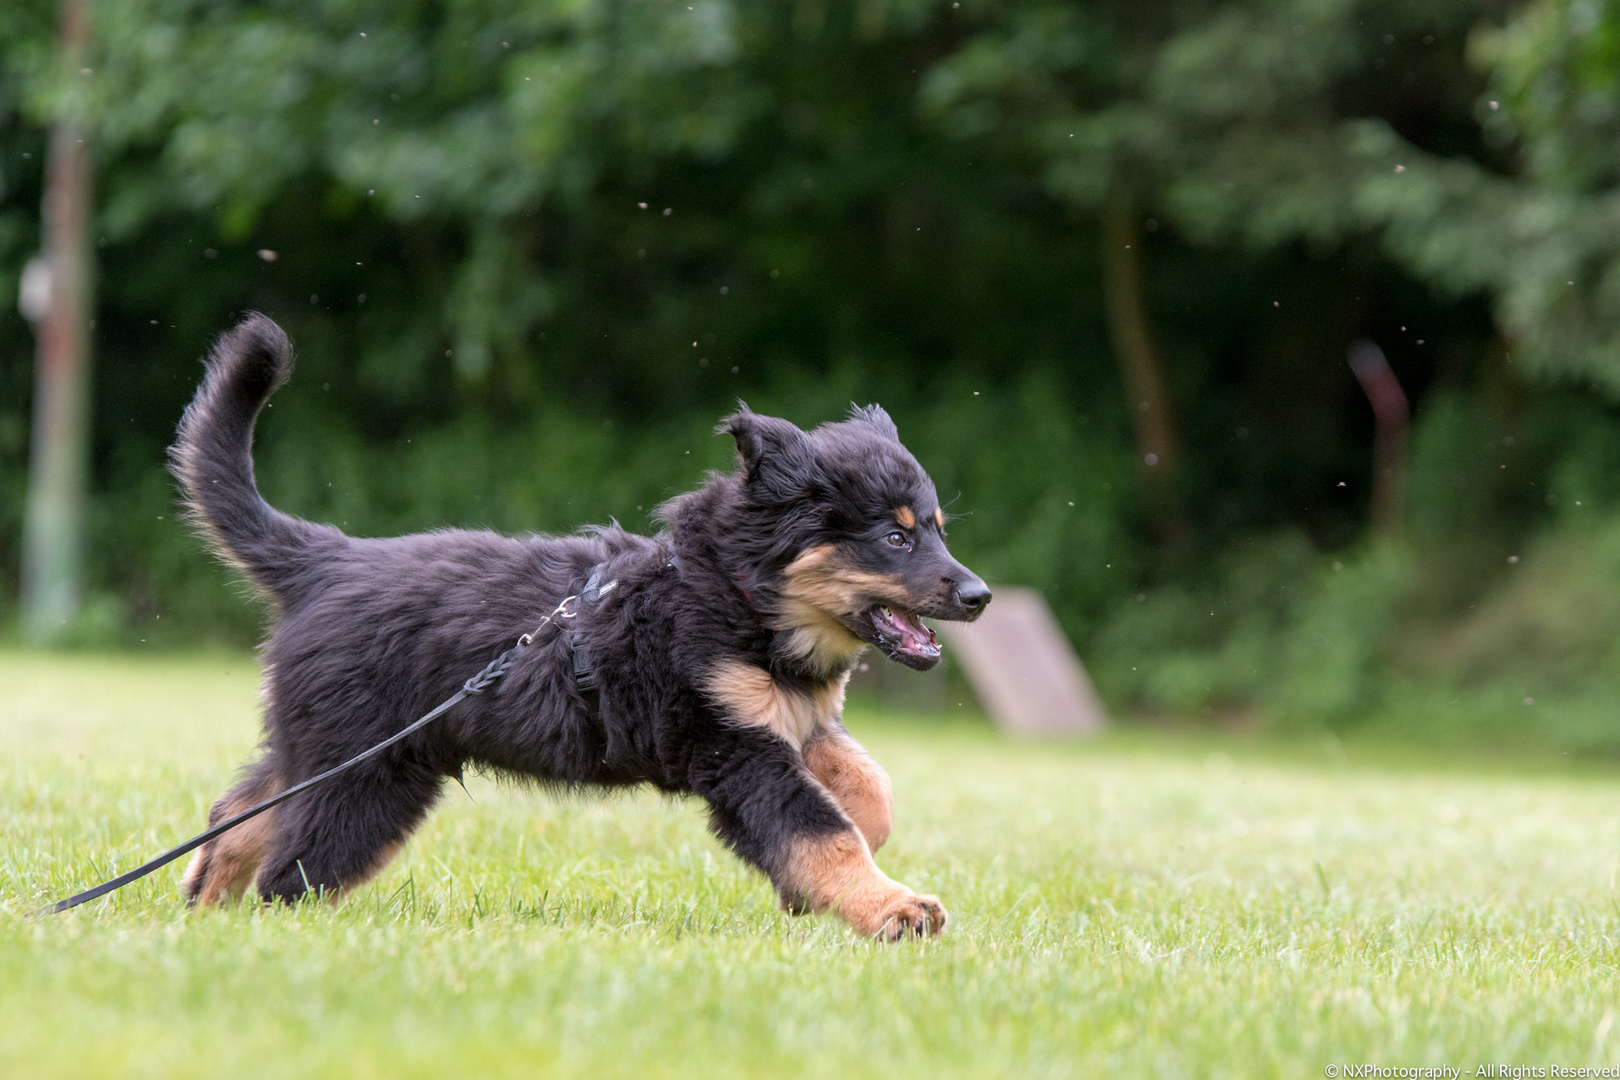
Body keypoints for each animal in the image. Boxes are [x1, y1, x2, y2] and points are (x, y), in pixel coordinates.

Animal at [174, 312, 984, 939]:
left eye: (938, 529)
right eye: (896, 538)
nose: (979, 597)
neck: (734, 593)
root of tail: (327, 559)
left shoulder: (791, 720)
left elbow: (869, 791)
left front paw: (826, 884)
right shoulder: (735, 745)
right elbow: (823, 834)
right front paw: (894, 909)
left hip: (327, 747)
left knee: (239, 813)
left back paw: (205, 913)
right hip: (369, 772)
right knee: (293, 872)